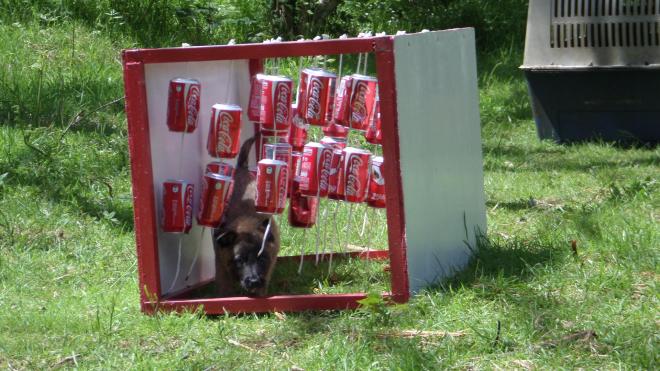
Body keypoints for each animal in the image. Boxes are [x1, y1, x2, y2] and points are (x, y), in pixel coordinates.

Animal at [213, 135, 280, 298]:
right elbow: (224, 288)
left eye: (262, 258)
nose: (254, 281)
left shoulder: (269, 263)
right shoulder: (221, 265)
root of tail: (241, 169)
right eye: (240, 260)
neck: (246, 222)